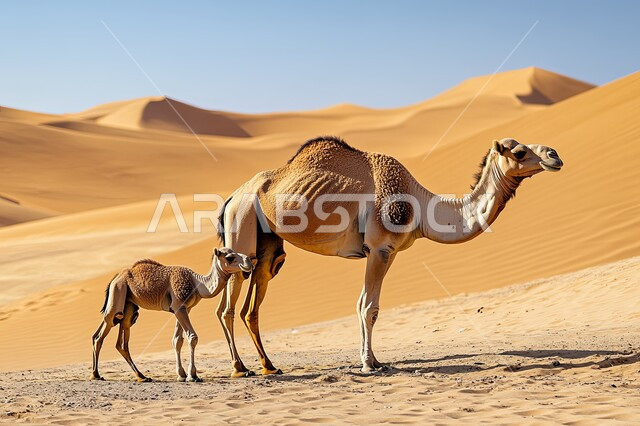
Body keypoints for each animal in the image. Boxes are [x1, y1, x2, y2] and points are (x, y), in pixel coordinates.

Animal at [91, 247, 253, 382]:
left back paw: (141, 376)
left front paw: (181, 375)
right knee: (101, 334)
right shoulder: (179, 307)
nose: (249, 261)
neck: (198, 284)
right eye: (230, 257)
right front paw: (193, 376)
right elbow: (192, 337)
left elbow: (177, 340)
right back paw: (96, 375)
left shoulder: (184, 309)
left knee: (119, 340)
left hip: (128, 304)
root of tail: (114, 278)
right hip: (118, 294)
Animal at [215, 136, 563, 376]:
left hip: (267, 245)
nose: (555, 155)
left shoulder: (388, 252)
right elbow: (369, 307)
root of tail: (232, 196)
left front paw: (370, 358)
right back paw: (240, 368)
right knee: (227, 308)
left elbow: (363, 305)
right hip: (241, 227)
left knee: (251, 304)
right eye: (519, 152)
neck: (421, 207)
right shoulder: (380, 248)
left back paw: (268, 365)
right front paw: (370, 364)